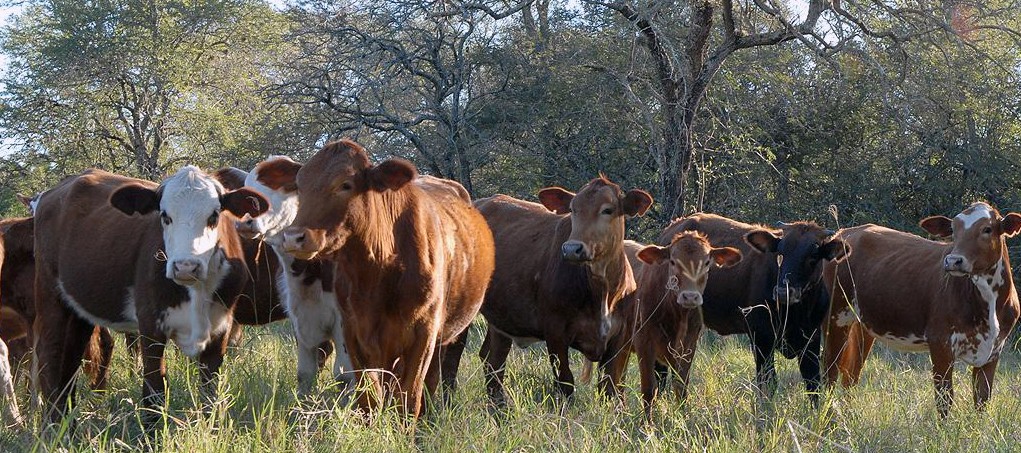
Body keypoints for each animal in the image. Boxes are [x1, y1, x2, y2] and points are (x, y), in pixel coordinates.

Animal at [33, 166, 267, 424]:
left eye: (214, 216)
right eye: (165, 216)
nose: (185, 267)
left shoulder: (220, 328)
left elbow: (210, 394)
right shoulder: (150, 325)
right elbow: (154, 392)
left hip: (79, 308)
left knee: (71, 359)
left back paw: (68, 422)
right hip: (49, 294)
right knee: (51, 355)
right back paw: (52, 424)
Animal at [279, 139, 494, 420]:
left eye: (346, 184)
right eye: (300, 185)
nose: (294, 237)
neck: (375, 273)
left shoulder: (424, 334)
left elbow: (409, 398)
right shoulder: (353, 332)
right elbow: (368, 399)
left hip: (449, 335)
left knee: (432, 382)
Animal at [465, 176, 653, 404]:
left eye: (607, 210)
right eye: (572, 209)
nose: (572, 249)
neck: (602, 292)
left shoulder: (621, 338)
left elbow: (610, 388)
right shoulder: (555, 332)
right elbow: (565, 383)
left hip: (501, 319)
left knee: (492, 359)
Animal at [820, 203, 1021, 418]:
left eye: (987, 229)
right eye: (953, 230)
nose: (953, 261)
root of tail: (846, 232)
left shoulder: (993, 350)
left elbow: (982, 400)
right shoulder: (940, 342)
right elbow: (944, 399)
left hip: (863, 325)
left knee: (851, 373)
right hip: (835, 316)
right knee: (829, 370)